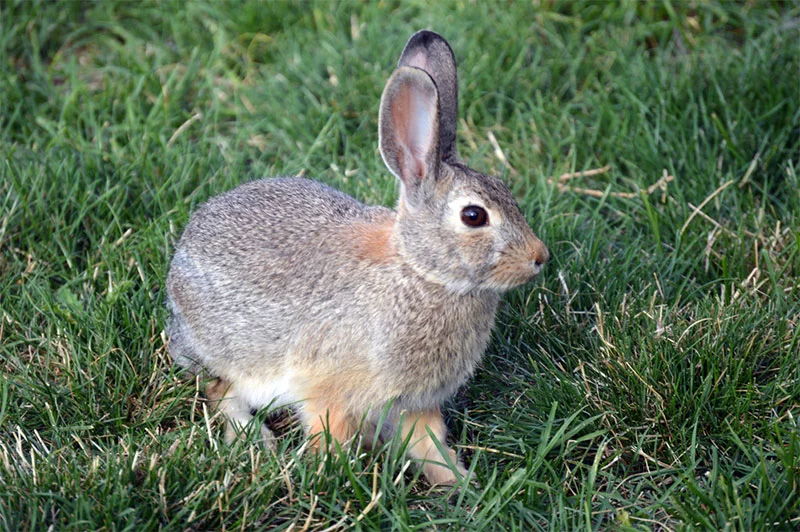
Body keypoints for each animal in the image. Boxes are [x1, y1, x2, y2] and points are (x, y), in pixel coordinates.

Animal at [165, 30, 549, 486]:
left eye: (505, 189)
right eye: (474, 216)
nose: (540, 257)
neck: (421, 272)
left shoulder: (414, 403)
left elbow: (429, 444)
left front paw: (459, 485)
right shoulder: (329, 390)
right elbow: (328, 433)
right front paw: (328, 472)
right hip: (236, 357)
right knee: (219, 391)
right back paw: (257, 440)